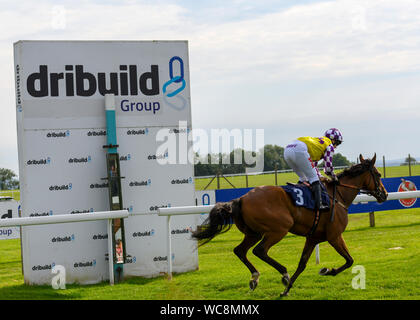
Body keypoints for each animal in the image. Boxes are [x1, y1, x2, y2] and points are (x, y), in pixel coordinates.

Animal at [192, 154, 388, 296]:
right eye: (378, 174)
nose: (384, 194)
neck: (337, 195)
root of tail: (241, 199)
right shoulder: (334, 236)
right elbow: (349, 260)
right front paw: (326, 270)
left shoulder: (313, 238)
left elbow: (302, 264)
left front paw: (287, 290)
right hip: (279, 228)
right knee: (260, 250)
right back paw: (283, 273)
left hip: (253, 233)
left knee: (240, 250)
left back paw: (255, 277)